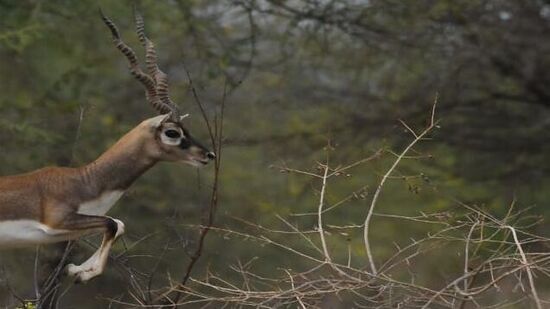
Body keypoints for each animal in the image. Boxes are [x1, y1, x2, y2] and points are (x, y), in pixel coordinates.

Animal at [0, 10, 215, 282]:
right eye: (172, 132)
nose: (208, 154)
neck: (85, 181)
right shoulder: (57, 222)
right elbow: (112, 223)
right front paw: (82, 273)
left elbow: (118, 223)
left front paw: (76, 269)